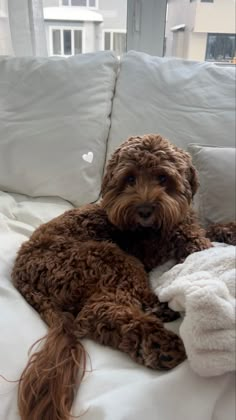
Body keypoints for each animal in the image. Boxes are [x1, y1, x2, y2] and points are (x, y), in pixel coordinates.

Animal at [12, 135, 213, 420]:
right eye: (130, 178)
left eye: (163, 177)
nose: (144, 210)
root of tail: (21, 276)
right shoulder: (156, 244)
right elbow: (194, 236)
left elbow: (207, 228)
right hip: (110, 259)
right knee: (99, 311)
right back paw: (159, 344)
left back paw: (158, 314)